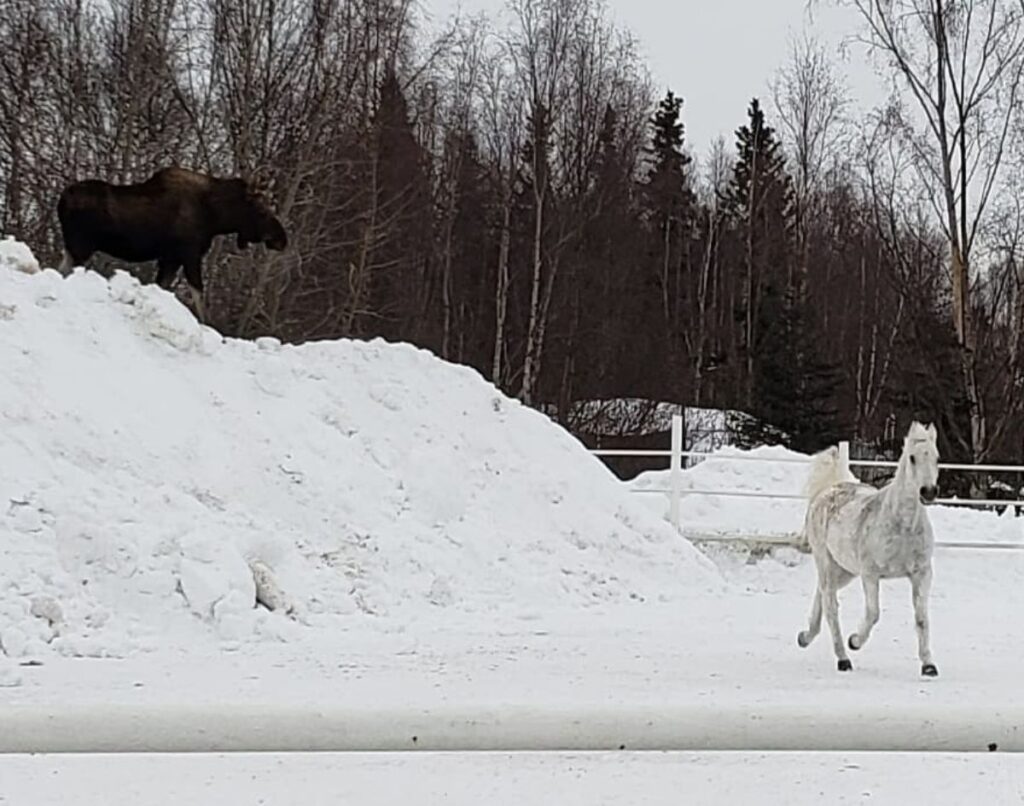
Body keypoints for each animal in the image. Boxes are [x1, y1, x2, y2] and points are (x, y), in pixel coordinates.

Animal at [56, 167, 287, 300]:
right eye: (262, 210)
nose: (282, 239)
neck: (217, 217)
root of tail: (62, 200)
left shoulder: (170, 259)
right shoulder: (189, 255)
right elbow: (199, 296)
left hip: (72, 247)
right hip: (81, 246)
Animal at [796, 421, 940, 677]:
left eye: (936, 457)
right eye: (912, 458)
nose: (928, 492)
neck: (901, 525)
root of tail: (827, 491)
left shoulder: (921, 573)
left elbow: (922, 618)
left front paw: (929, 665)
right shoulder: (871, 574)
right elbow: (874, 613)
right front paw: (855, 641)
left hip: (844, 571)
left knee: (822, 594)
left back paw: (805, 637)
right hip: (826, 562)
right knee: (831, 606)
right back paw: (843, 658)